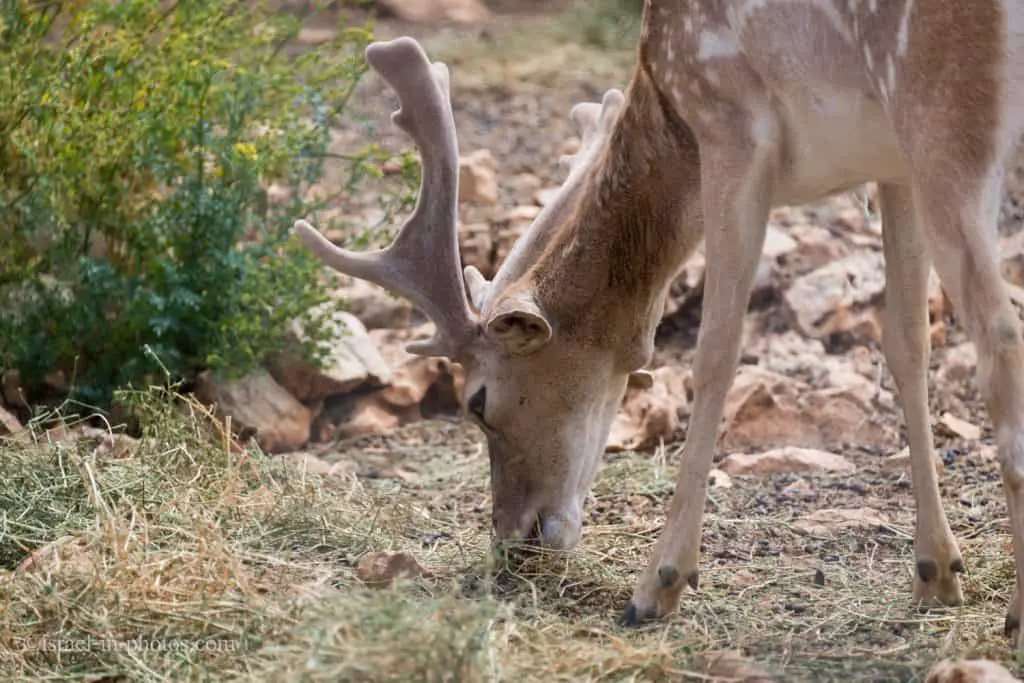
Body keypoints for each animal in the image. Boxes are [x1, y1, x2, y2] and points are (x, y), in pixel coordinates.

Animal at [294, 0, 1024, 651]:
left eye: (477, 402)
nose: (513, 540)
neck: (665, 95)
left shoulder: (730, 124)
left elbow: (716, 351)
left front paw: (658, 585)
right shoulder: (887, 163)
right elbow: (906, 341)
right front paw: (937, 573)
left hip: (940, 98)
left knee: (1001, 334)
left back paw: (1015, 616)